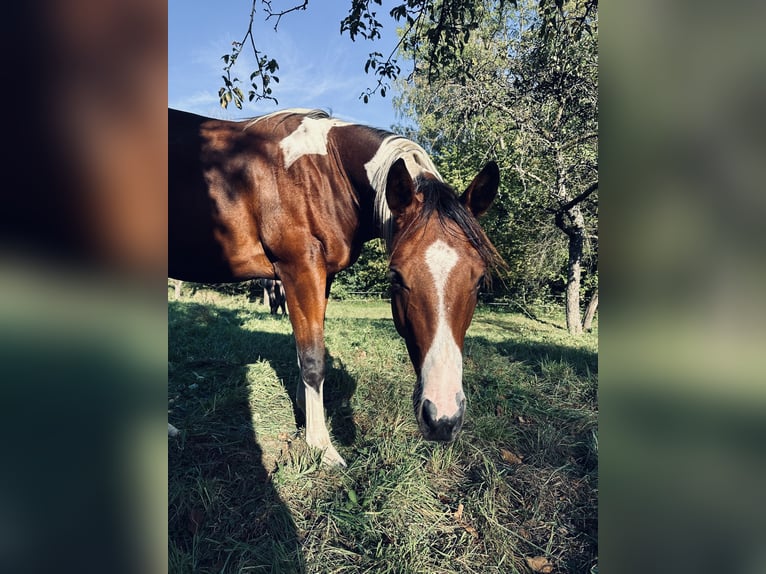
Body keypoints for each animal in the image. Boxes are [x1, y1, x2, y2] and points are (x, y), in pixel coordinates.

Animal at [169, 107, 504, 468]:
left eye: (479, 280)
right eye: (396, 277)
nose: (443, 418)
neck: (321, 174)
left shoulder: (319, 276)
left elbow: (304, 355)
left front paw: (306, 415)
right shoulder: (300, 269)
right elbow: (313, 360)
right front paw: (321, 445)